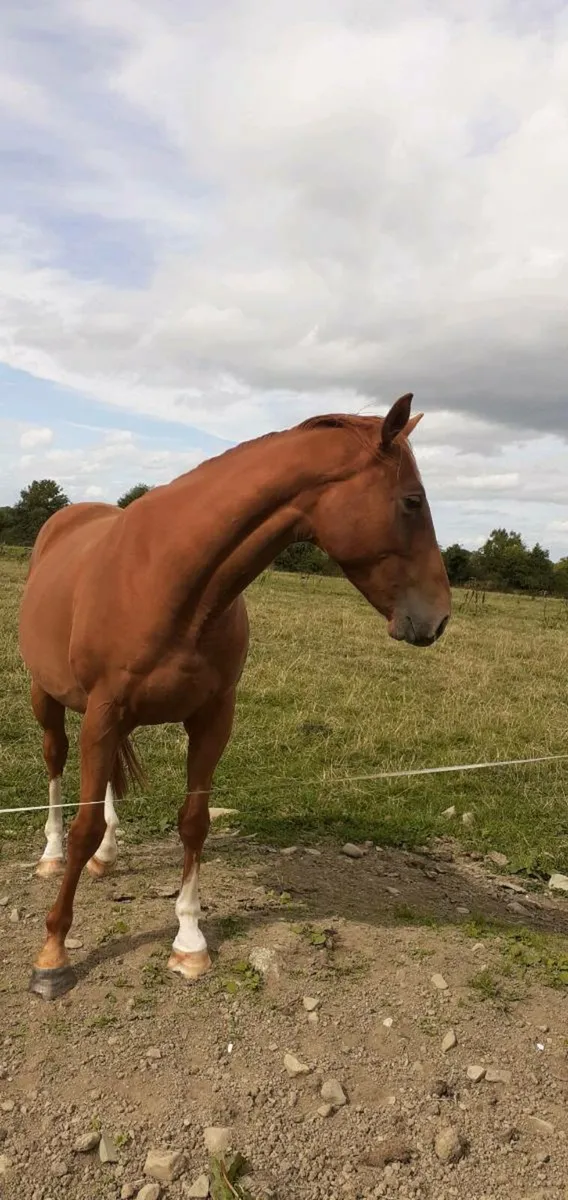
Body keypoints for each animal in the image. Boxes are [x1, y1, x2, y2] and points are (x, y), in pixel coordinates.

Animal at [18, 392, 451, 1000]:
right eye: (412, 501)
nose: (438, 618)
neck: (171, 581)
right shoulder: (102, 712)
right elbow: (83, 828)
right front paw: (53, 952)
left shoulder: (212, 717)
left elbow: (193, 822)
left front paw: (189, 941)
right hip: (50, 700)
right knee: (57, 767)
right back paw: (51, 856)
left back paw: (108, 858)